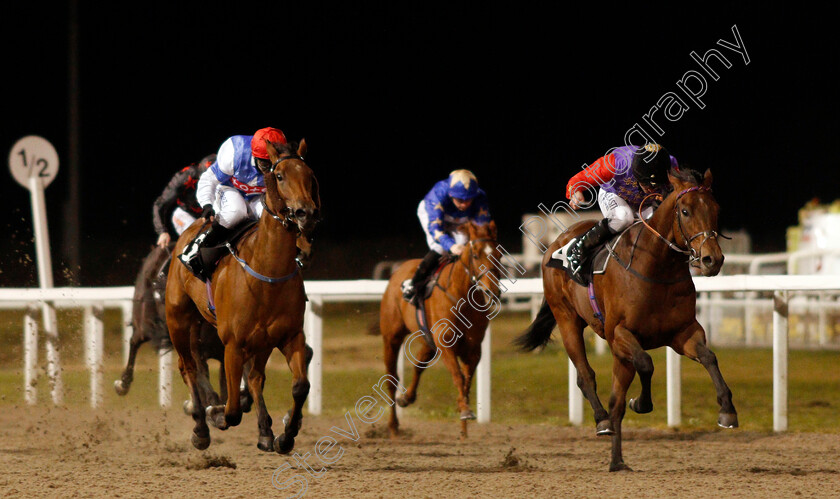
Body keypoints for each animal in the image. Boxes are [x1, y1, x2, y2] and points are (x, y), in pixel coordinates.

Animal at [166, 139, 320, 456]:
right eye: (280, 176)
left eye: (310, 175)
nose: (306, 214)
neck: (267, 271)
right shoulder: (233, 344)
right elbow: (233, 411)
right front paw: (214, 413)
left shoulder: (289, 336)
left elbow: (300, 386)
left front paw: (285, 436)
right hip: (178, 318)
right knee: (188, 367)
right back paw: (201, 426)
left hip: (258, 340)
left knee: (256, 377)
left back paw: (264, 432)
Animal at [378, 222, 498, 438]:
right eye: (476, 255)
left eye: (499, 255)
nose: (492, 291)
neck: (462, 298)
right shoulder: (446, 346)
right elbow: (458, 376)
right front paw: (465, 411)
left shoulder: (473, 349)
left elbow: (467, 381)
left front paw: (463, 424)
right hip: (392, 337)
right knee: (391, 379)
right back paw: (393, 426)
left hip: (428, 340)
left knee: (418, 365)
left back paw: (407, 397)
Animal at [516, 169, 740, 472]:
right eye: (685, 211)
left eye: (716, 209)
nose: (711, 259)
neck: (657, 268)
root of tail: (557, 242)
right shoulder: (619, 334)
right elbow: (646, 363)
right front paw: (641, 403)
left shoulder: (683, 333)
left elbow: (709, 357)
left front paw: (727, 411)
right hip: (567, 320)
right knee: (586, 377)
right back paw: (602, 421)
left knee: (616, 401)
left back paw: (617, 461)